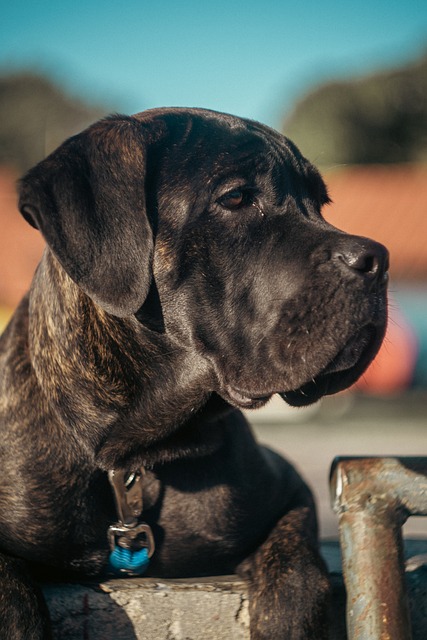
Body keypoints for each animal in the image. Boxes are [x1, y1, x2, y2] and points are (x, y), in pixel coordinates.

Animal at [0, 107, 388, 636]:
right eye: (236, 197)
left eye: (321, 204)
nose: (376, 259)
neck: (134, 452)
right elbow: (11, 591)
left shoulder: (287, 490)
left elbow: (296, 567)